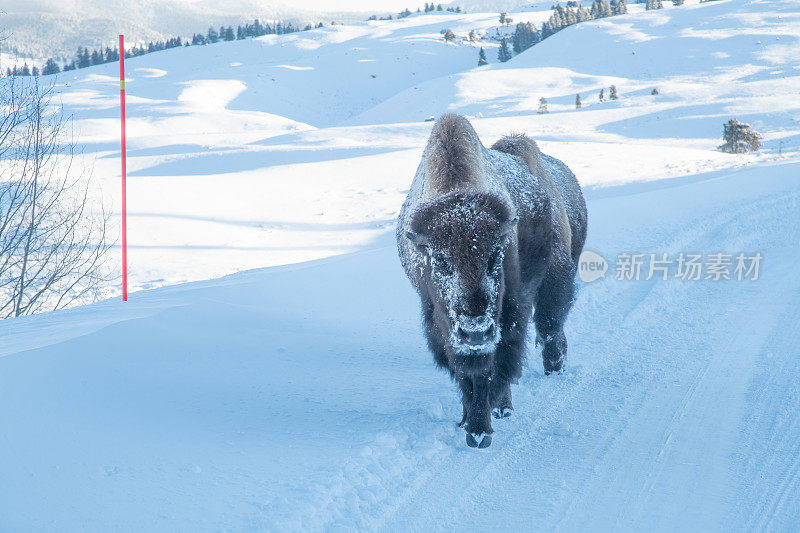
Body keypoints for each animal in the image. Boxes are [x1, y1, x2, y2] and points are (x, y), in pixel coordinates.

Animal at [396, 114, 584, 446]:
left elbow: (494, 366)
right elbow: (466, 373)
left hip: (553, 278)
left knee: (549, 327)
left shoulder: (509, 312)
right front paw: (470, 424)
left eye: (496, 256)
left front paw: (481, 430)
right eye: (440, 263)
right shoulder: (441, 324)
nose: (476, 331)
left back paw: (546, 375)